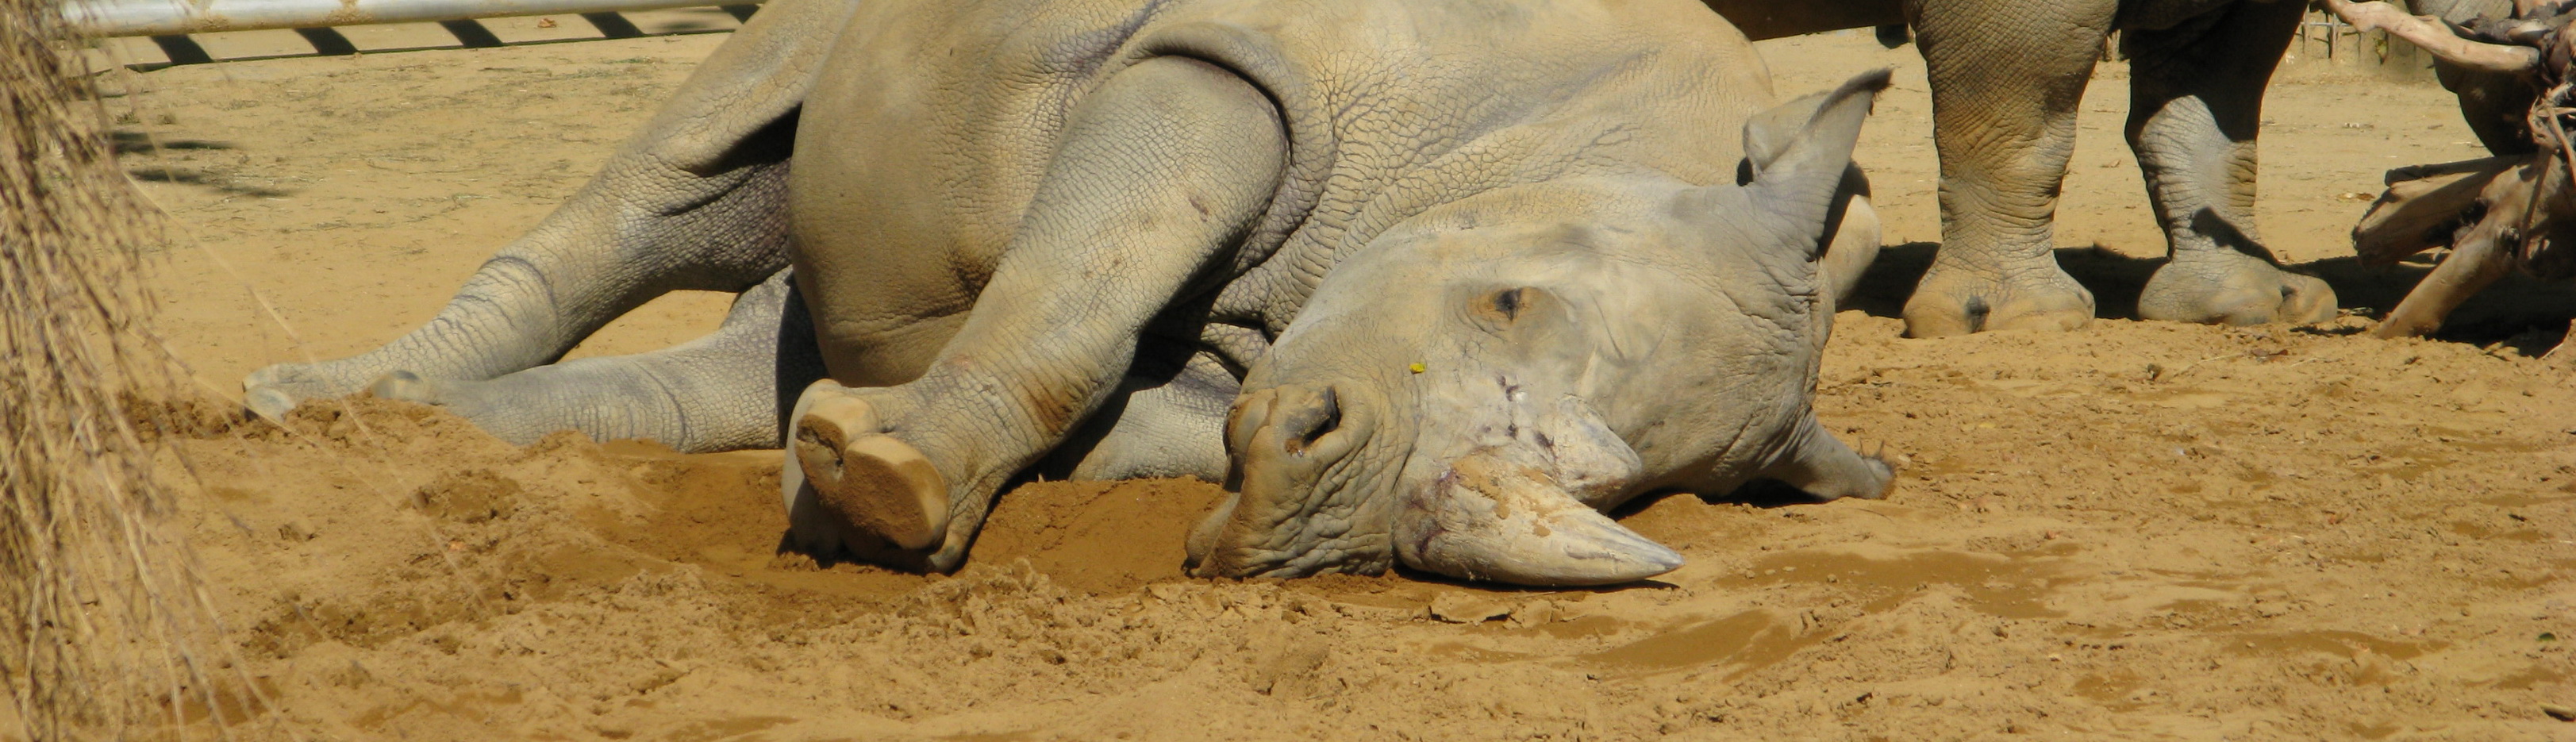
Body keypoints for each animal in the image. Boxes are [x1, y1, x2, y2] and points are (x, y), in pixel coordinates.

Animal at [242, 0, 1898, 585]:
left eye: (1617, 489)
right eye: (1503, 304)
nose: (1324, 512)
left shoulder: (1258, 357)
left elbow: (1112, 387)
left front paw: (847, 476)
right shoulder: (1234, 63)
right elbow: (1084, 284)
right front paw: (893, 490)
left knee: (734, 359)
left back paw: (417, 430)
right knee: (687, 162)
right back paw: (297, 403)